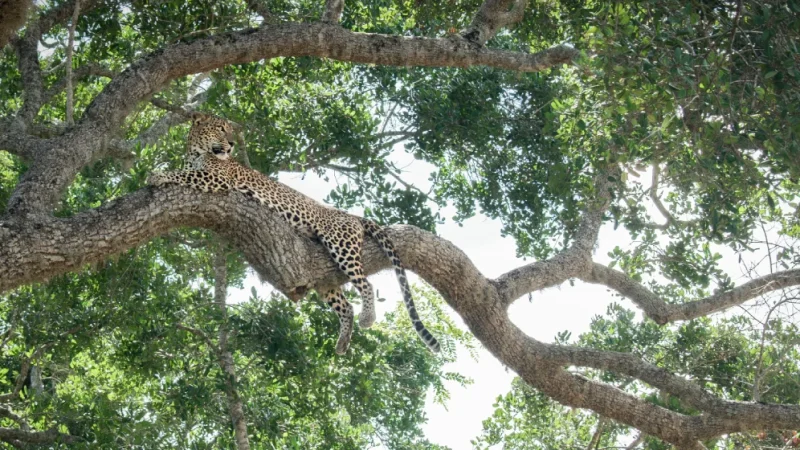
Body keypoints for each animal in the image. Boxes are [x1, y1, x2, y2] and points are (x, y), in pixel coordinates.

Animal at [148, 112, 440, 355]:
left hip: (340, 244)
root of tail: (351, 215)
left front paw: (158, 175)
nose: (231, 144)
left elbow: (184, 174)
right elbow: (186, 172)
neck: (196, 151)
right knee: (345, 304)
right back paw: (342, 342)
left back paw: (367, 318)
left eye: (230, 130)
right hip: (326, 276)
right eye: (220, 129)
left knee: (365, 284)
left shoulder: (218, 178)